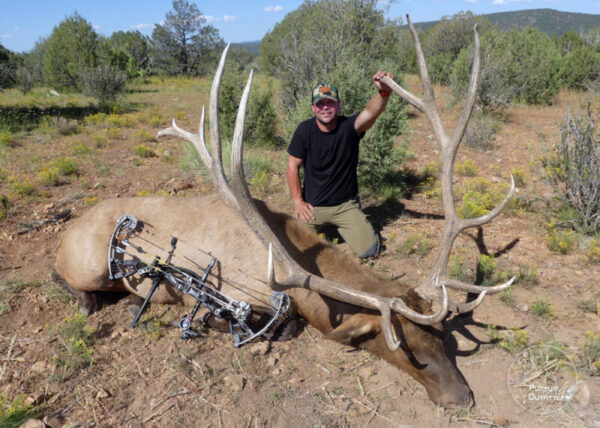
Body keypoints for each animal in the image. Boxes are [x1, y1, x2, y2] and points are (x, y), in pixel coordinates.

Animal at [56, 17, 512, 408]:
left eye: (441, 336)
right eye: (406, 348)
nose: (463, 397)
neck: (275, 256)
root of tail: (68, 229)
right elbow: (280, 325)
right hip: (87, 265)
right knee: (72, 283)